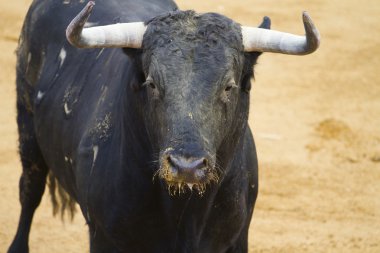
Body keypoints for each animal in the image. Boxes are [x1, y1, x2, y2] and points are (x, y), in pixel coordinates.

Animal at [7, 0, 320, 253]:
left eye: (229, 86)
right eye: (153, 83)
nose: (186, 166)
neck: (185, 213)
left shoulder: (238, 237)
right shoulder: (103, 237)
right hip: (27, 130)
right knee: (29, 192)